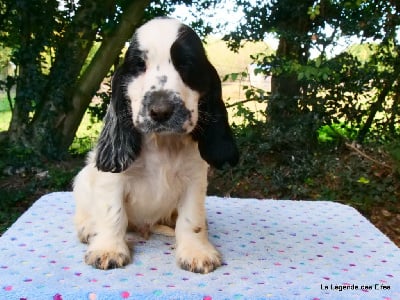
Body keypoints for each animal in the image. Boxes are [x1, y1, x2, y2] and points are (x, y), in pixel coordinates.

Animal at [73, 17, 238, 274]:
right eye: (139, 65)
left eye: (186, 64)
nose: (160, 111)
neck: (162, 143)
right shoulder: (113, 180)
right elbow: (112, 213)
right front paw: (108, 249)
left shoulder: (194, 180)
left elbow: (191, 219)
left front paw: (196, 252)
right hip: (82, 180)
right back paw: (88, 228)